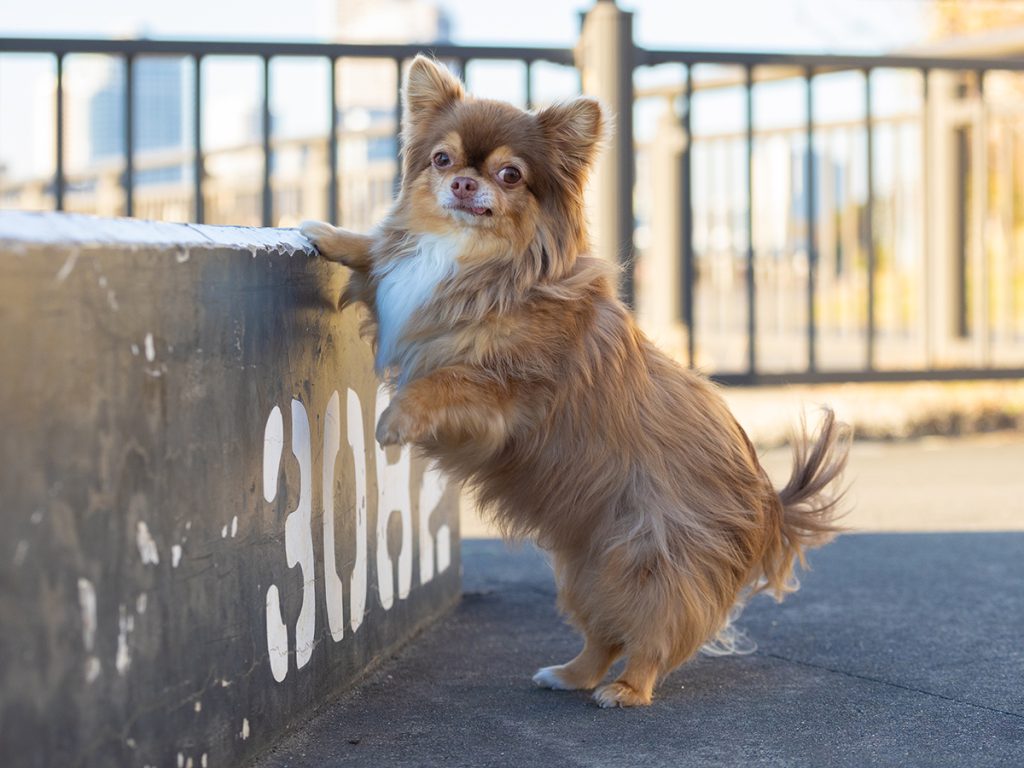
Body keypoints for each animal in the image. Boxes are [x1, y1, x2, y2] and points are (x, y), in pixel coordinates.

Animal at [301, 55, 847, 708]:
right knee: (604, 635)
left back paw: (626, 690)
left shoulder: (502, 398)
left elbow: (442, 383)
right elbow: (379, 258)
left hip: (650, 561)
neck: (473, 258)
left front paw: (395, 418)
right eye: (442, 159)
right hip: (585, 565)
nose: (464, 184)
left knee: (654, 637)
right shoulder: (408, 301)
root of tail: (770, 501)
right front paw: (330, 235)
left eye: (510, 174)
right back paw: (570, 674)